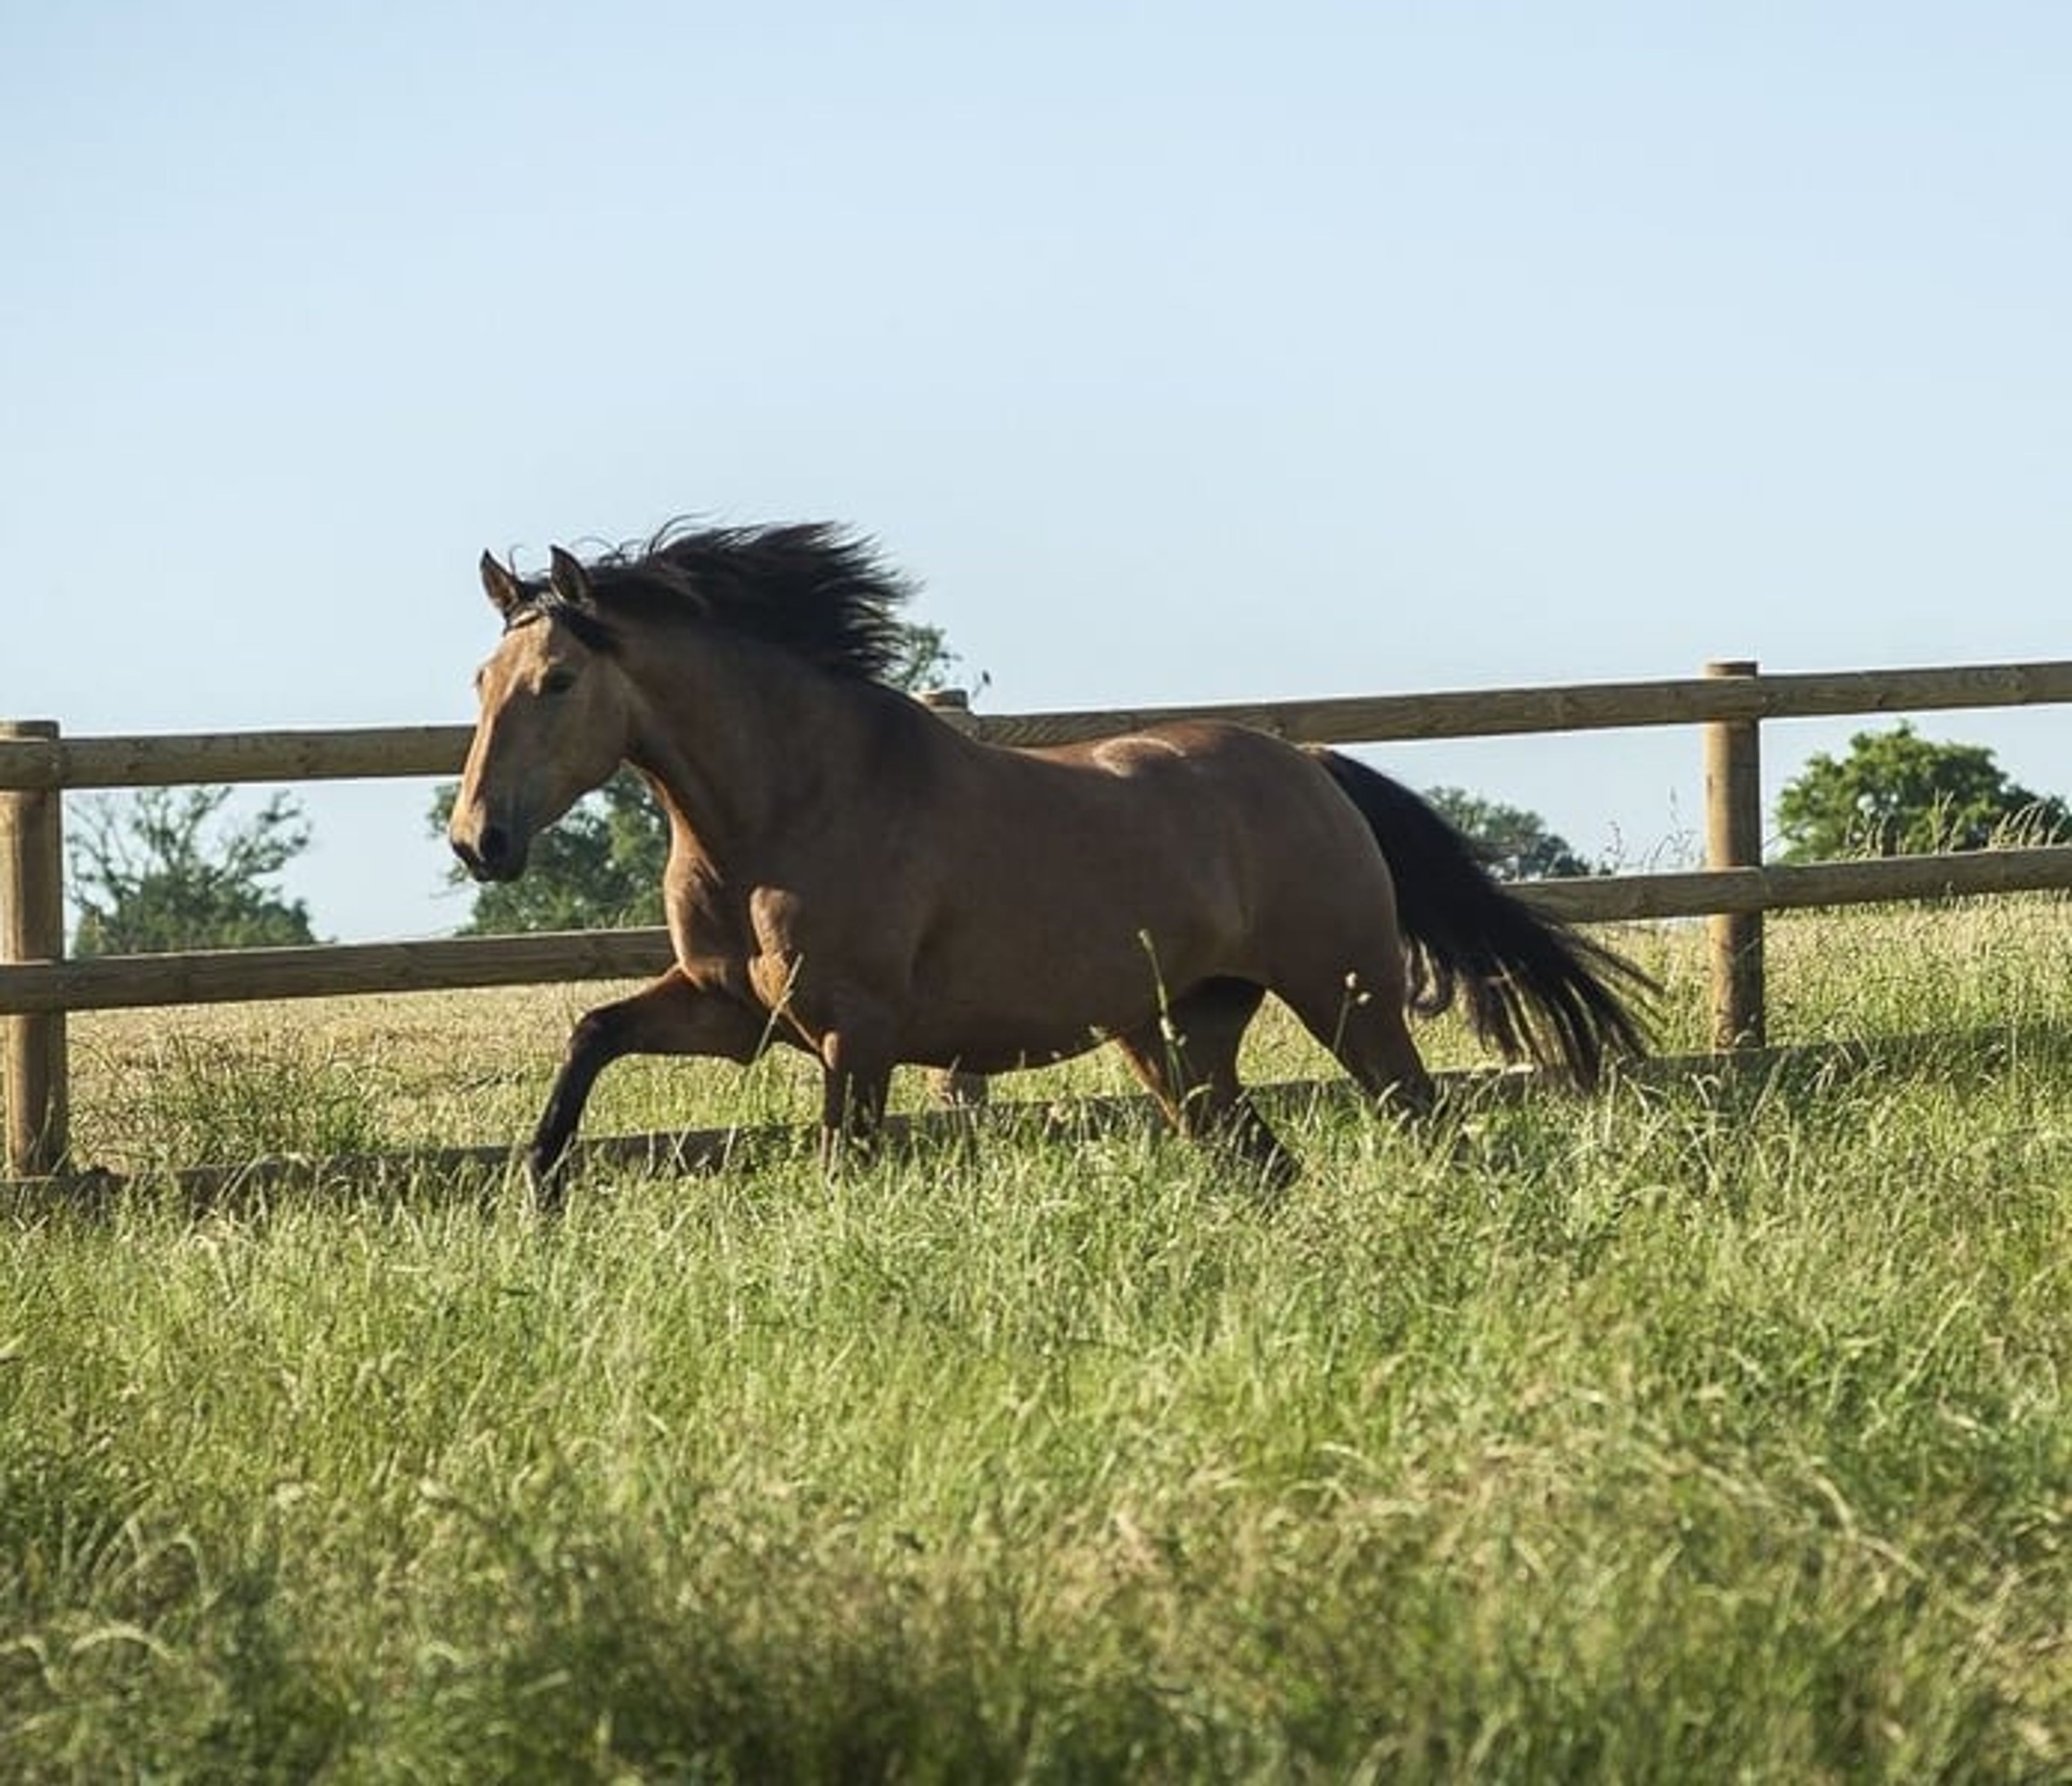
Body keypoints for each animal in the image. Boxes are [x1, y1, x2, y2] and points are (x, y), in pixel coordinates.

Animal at [449, 522, 1650, 1205]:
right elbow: (591, 1033)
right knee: (1259, 1160)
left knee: (1422, 1118)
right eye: (480, 678)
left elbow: (843, 1166)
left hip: (1347, 997)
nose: (479, 840)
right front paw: (536, 1194)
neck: (784, 811)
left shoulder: (855, 1032)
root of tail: (1311, 765)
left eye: (557, 680)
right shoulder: (731, 1009)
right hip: (1178, 1035)